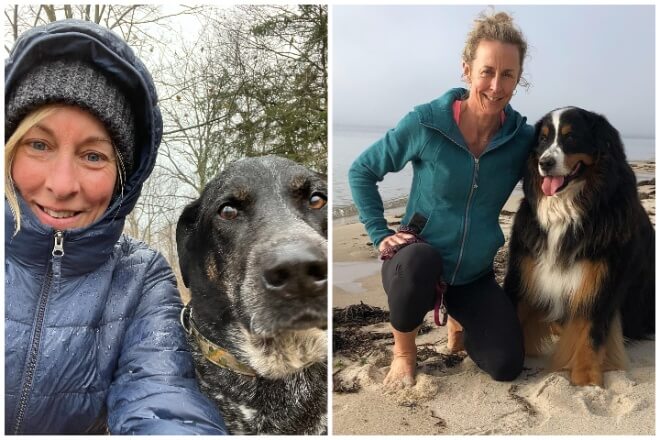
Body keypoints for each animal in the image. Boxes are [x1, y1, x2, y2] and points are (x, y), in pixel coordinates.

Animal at [506, 108, 656, 386]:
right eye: (542, 139)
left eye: (571, 137)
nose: (545, 163)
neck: (567, 209)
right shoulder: (526, 269)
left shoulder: (603, 278)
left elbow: (591, 329)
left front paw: (587, 377)